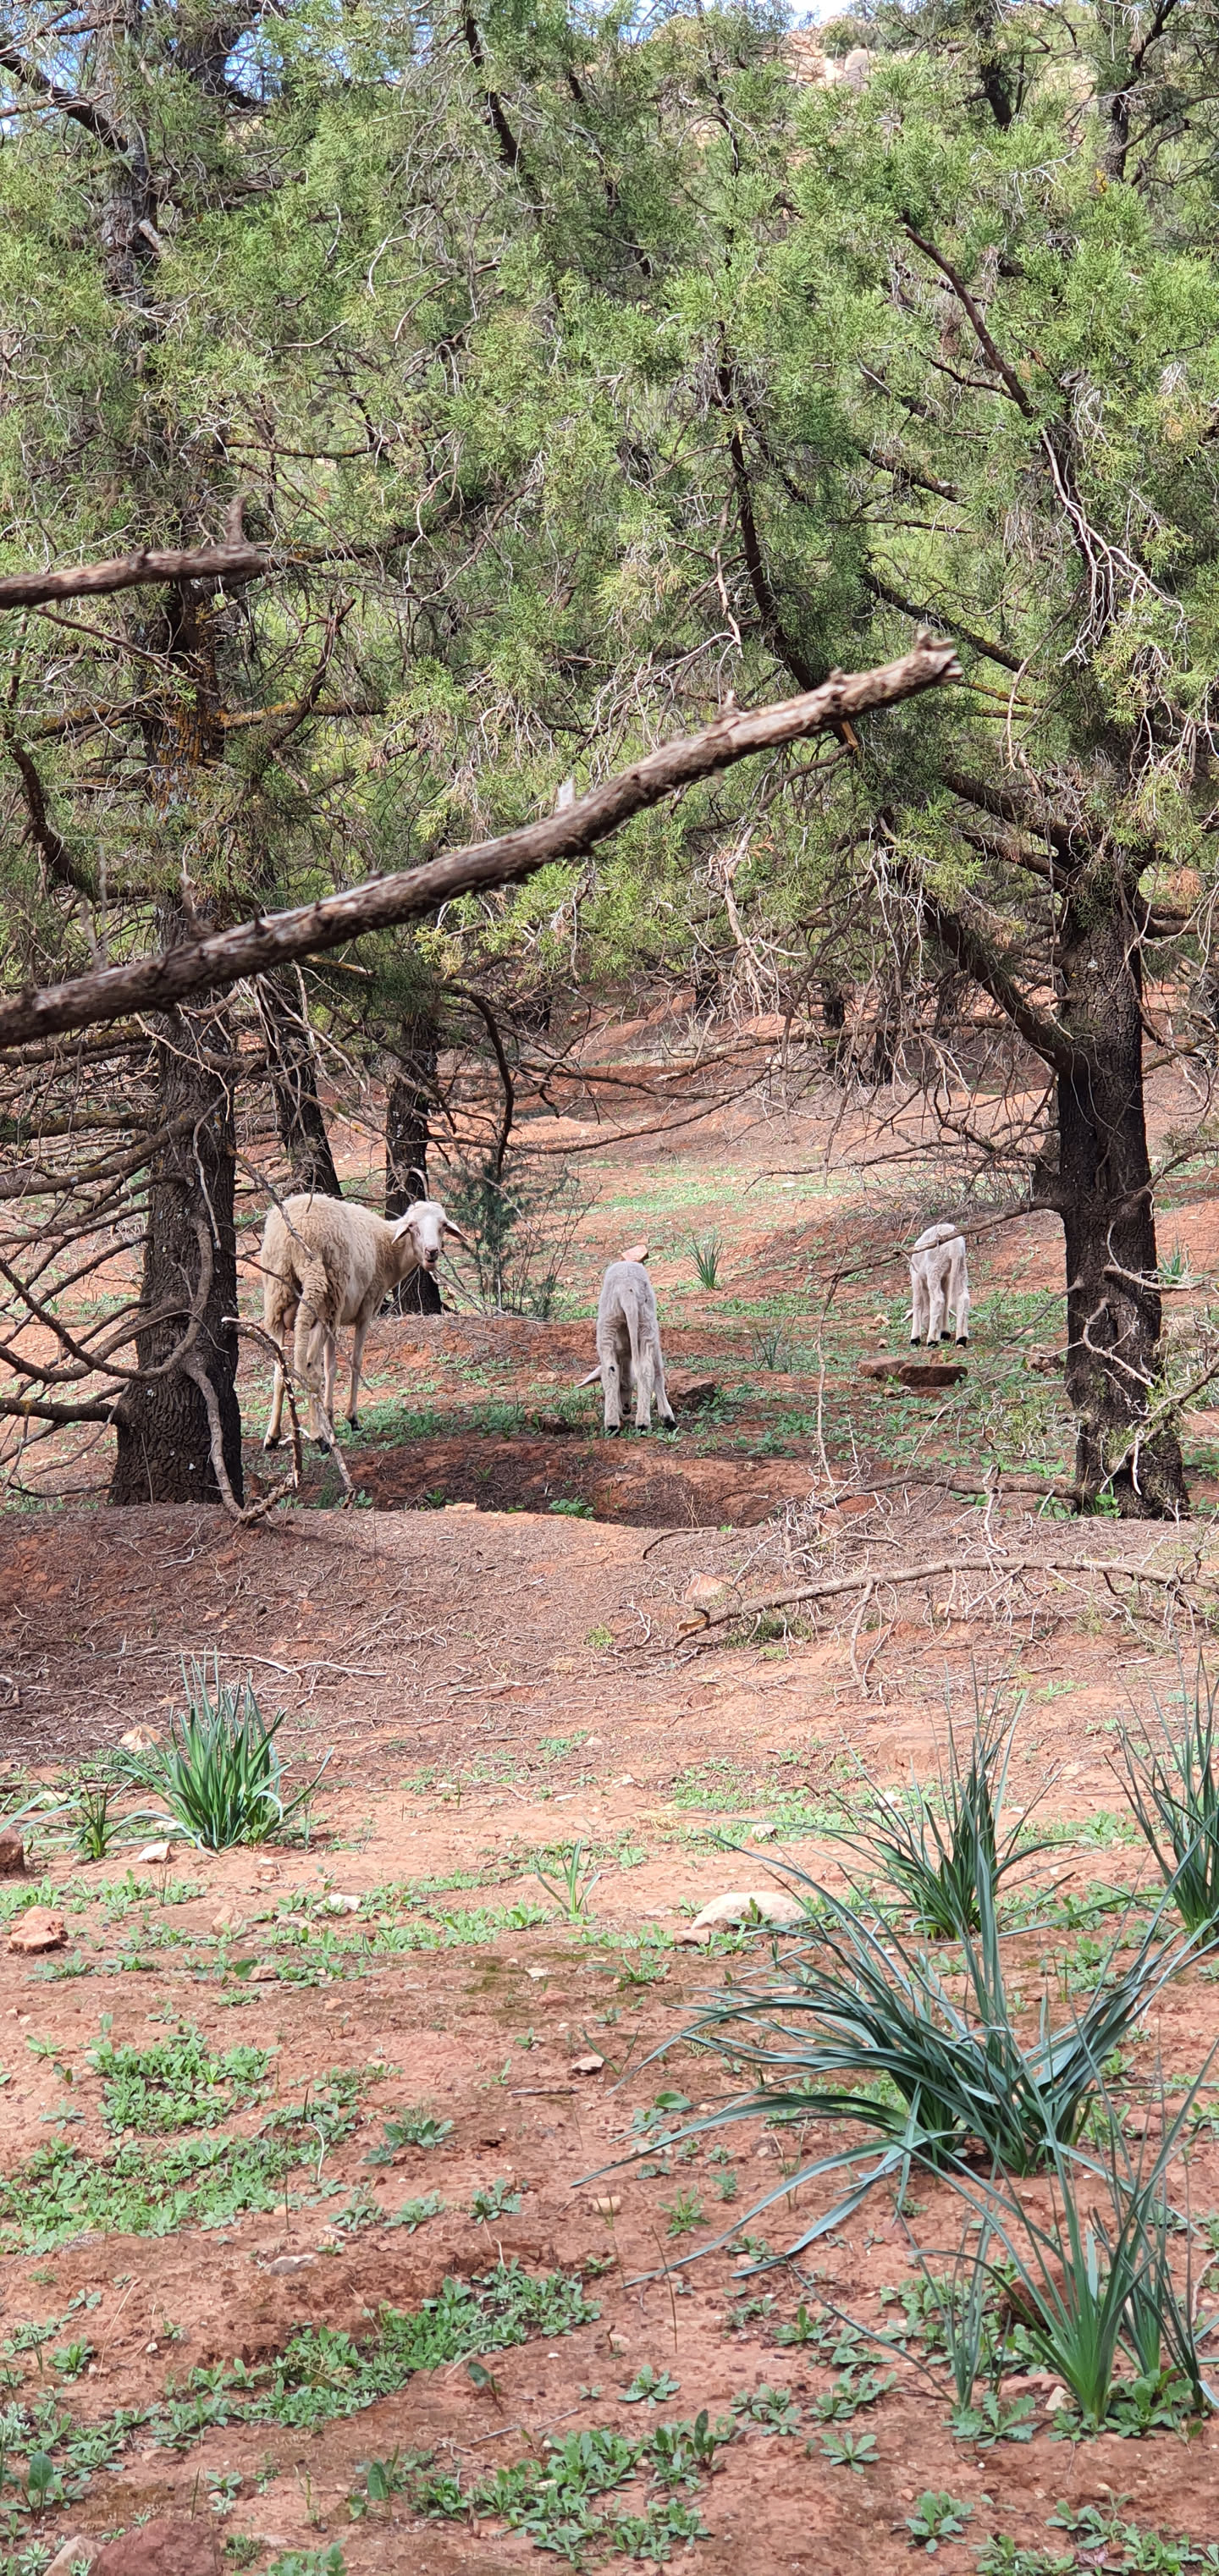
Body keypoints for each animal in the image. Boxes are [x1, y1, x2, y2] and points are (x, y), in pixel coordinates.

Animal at [261, 1194, 465, 1447]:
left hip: (278, 1298)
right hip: (322, 1295)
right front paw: (351, 1418)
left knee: (280, 1371)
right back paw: (318, 1436)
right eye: (412, 1226)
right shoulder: (366, 1310)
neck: (387, 1249)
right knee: (309, 1369)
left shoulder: (336, 1320)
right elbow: (355, 1362)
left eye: (443, 1225)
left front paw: (330, 1418)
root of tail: (290, 1241)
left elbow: (331, 1367)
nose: (432, 1252)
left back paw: (273, 1435)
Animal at [578, 1259, 675, 1432]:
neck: (626, 1354)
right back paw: (642, 1422)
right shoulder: (655, 1343)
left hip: (608, 1323)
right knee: (646, 1369)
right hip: (646, 1323)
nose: (626, 1409)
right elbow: (658, 1372)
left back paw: (612, 1424)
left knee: (611, 1370)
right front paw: (667, 1416)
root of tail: (626, 1289)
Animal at [909, 1220, 970, 1347]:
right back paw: (961, 1339)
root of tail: (955, 1246)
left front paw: (915, 1338)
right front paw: (944, 1332)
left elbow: (917, 1303)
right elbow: (946, 1301)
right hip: (960, 1268)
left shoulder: (915, 1275)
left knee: (937, 1300)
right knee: (963, 1298)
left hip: (934, 1268)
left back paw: (932, 1340)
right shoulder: (946, 1277)